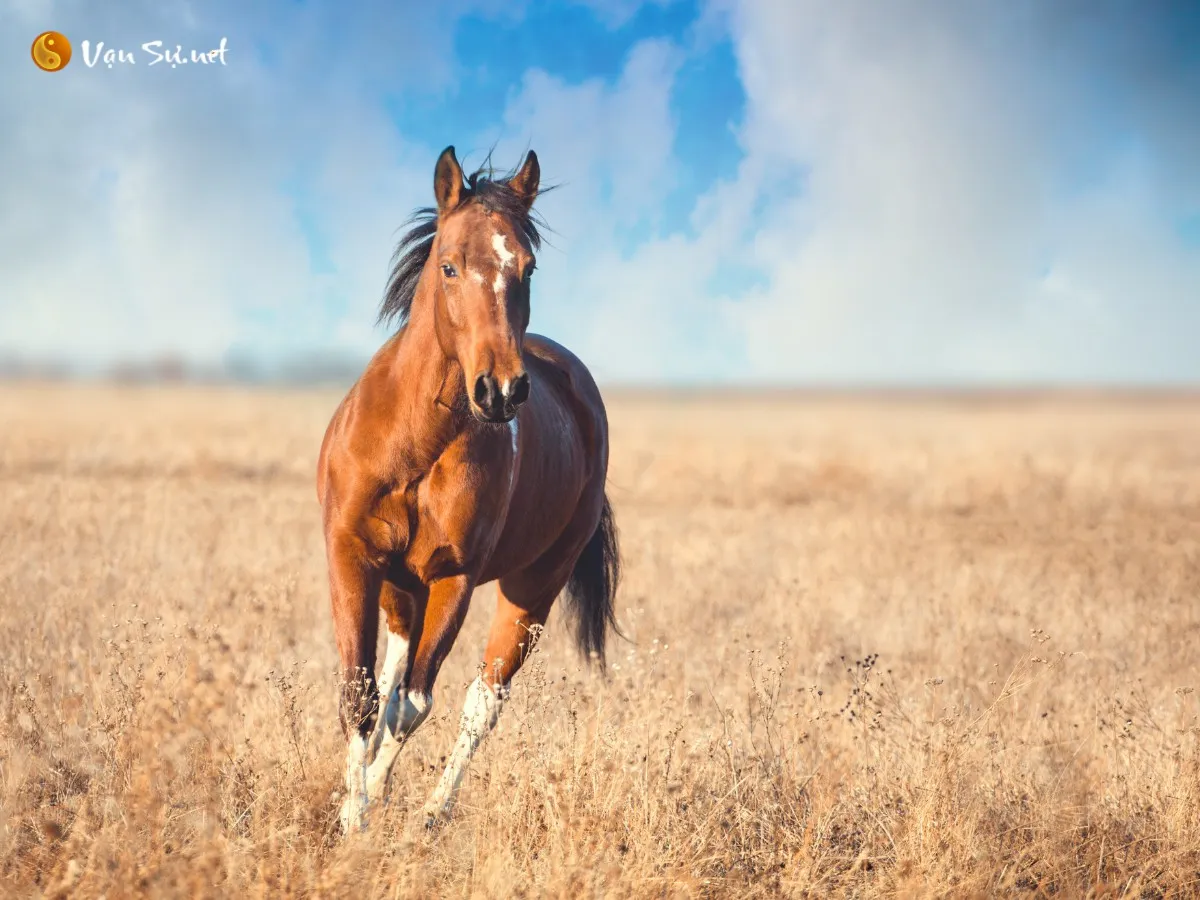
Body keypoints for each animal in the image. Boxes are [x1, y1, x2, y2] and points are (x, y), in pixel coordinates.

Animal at [314, 146, 624, 830]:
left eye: (528, 268)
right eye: (449, 265)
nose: (501, 390)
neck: (414, 445)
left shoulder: (452, 578)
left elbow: (414, 705)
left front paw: (367, 812)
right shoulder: (354, 556)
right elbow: (362, 695)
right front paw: (353, 810)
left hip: (531, 591)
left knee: (482, 701)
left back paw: (432, 814)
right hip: (401, 588)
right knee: (394, 678)